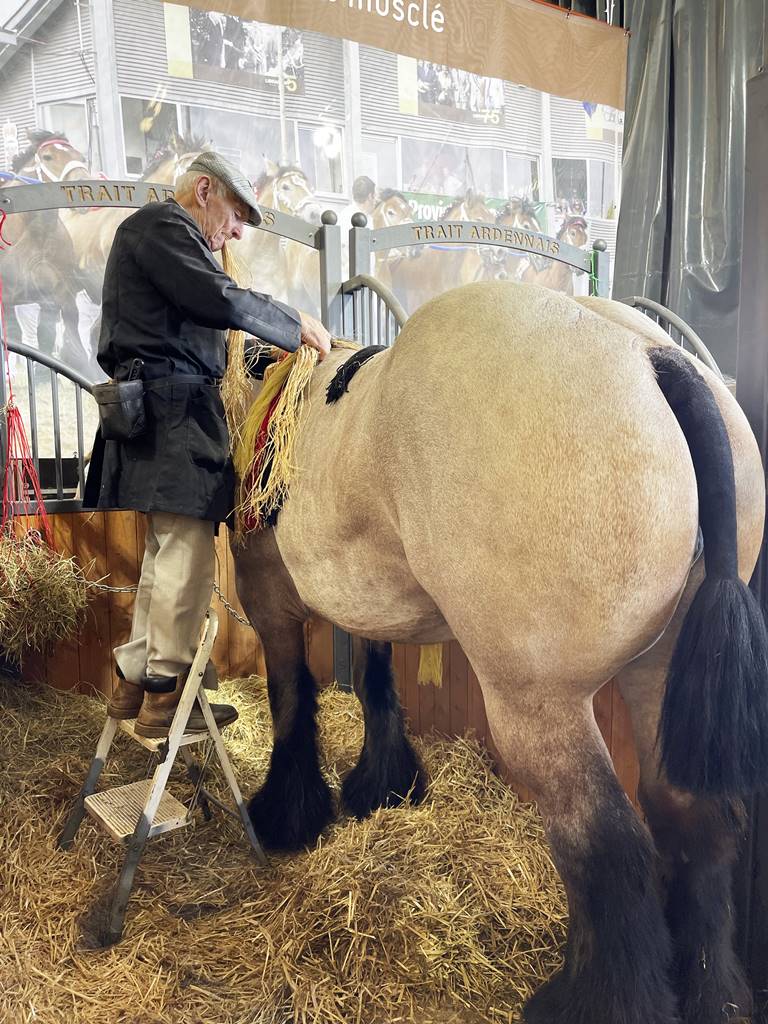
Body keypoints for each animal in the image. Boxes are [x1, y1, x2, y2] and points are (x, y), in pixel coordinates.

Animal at [231, 281, 768, 1024]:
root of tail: (654, 357)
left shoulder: (269, 601)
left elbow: (290, 698)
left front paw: (289, 811)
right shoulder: (369, 599)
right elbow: (373, 680)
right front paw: (383, 786)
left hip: (537, 705)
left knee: (607, 850)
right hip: (660, 681)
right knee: (690, 821)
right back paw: (712, 994)